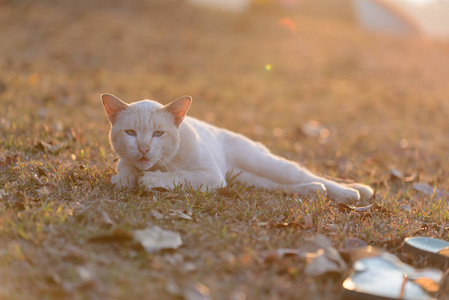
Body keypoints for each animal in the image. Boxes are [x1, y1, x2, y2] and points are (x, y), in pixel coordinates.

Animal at [102, 92, 374, 203]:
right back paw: (313, 191)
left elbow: (178, 176)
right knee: (284, 185)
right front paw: (132, 178)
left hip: (262, 162)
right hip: (248, 178)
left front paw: (151, 180)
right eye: (131, 133)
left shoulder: (212, 176)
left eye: (158, 133)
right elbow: (123, 177)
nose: (144, 148)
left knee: (304, 173)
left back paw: (352, 192)